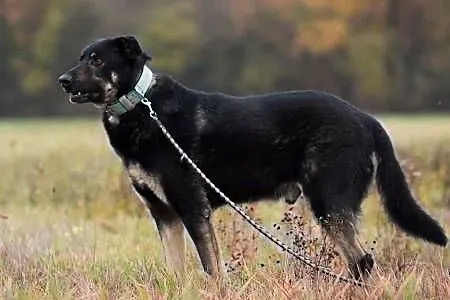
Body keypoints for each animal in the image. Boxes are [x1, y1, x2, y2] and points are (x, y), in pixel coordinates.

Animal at [59, 36, 446, 280]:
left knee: (362, 261)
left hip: (329, 203)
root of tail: (366, 119)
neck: (142, 107)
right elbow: (176, 271)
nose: (62, 80)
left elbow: (213, 270)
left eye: (97, 59)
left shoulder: (192, 208)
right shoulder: (164, 214)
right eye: (80, 57)